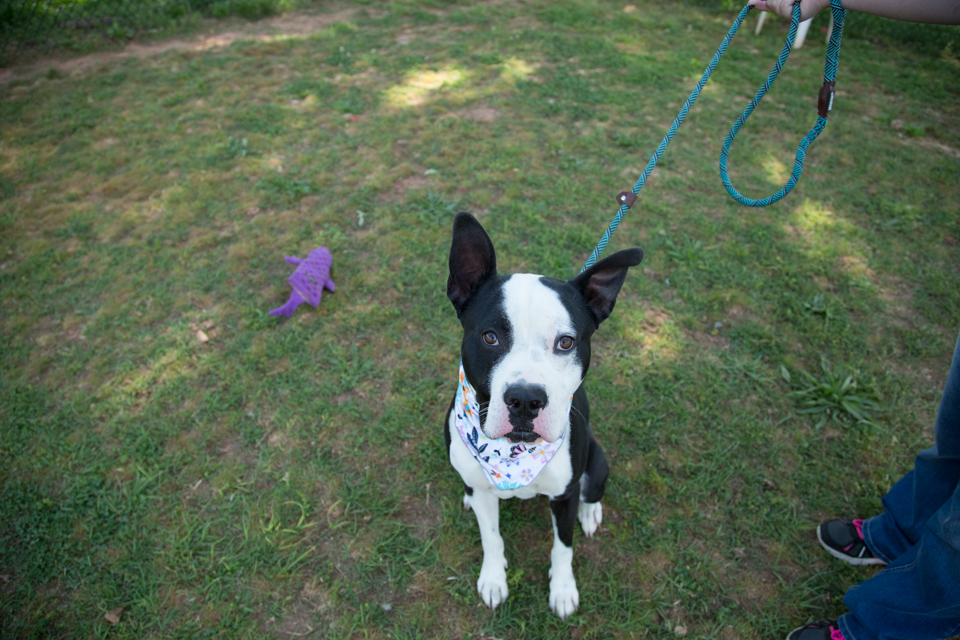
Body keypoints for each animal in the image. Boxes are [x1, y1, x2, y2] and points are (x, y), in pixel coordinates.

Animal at [444, 212, 644, 616]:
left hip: (597, 461)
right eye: (490, 337)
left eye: (565, 342)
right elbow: (491, 538)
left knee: (592, 491)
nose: (525, 399)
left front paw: (563, 590)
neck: (513, 457)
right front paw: (493, 579)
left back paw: (590, 513)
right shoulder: (488, 498)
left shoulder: (564, 496)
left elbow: (563, 548)